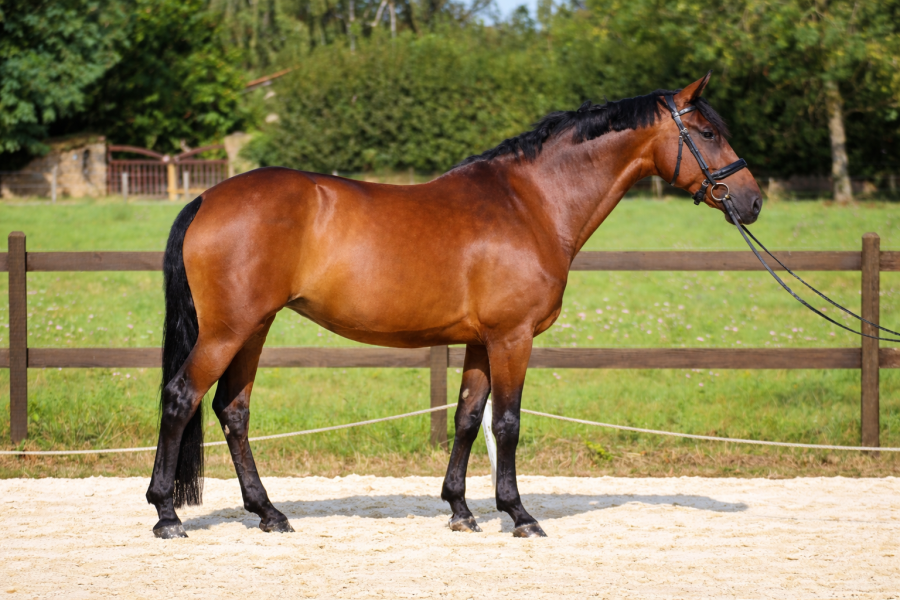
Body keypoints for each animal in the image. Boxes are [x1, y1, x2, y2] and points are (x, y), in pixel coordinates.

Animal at [146, 73, 762, 539]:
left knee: (233, 411)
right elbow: (508, 423)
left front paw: (461, 510)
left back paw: (269, 513)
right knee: (181, 398)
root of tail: (207, 198)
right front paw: (519, 514)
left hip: (253, 328)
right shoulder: (513, 337)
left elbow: (468, 418)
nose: (753, 200)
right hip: (227, 330)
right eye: (708, 132)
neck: (530, 203)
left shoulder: (479, 341)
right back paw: (168, 515)